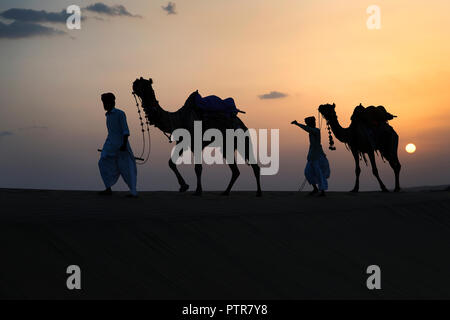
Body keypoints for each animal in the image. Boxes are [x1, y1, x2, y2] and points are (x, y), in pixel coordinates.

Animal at [132, 78, 262, 198]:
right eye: (138, 82)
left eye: (143, 83)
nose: (134, 83)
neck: (178, 118)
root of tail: (241, 124)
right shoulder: (182, 141)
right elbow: (171, 163)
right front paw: (184, 186)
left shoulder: (196, 142)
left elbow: (198, 168)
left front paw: (198, 191)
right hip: (227, 145)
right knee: (235, 170)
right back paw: (225, 192)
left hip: (241, 138)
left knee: (254, 165)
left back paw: (258, 192)